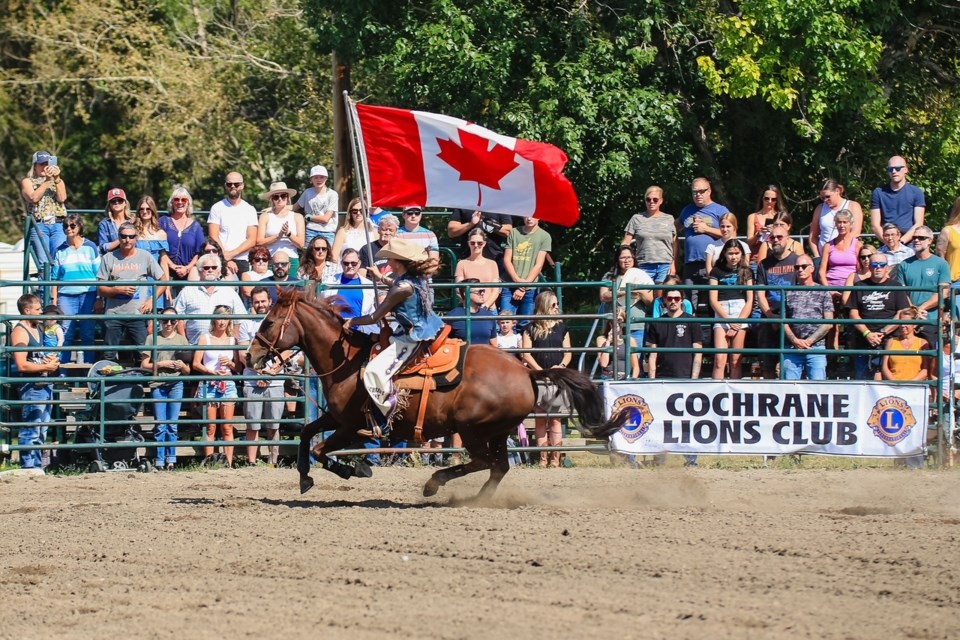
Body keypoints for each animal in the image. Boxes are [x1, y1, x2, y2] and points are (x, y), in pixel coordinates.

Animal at [244, 290, 628, 500]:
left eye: (267, 323)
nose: (251, 356)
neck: (348, 363)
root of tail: (526, 372)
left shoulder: (352, 426)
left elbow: (322, 449)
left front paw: (355, 470)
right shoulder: (336, 417)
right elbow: (307, 435)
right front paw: (305, 478)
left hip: (473, 429)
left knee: (485, 462)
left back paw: (435, 483)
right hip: (497, 431)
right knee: (498, 466)